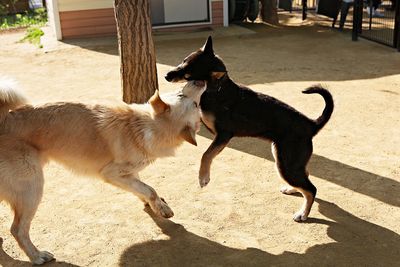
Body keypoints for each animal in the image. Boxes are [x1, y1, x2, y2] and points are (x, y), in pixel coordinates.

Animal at [0, 78, 206, 264]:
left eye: (197, 104)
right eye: (184, 97)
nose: (200, 80)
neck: (141, 126)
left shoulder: (126, 173)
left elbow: (141, 186)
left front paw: (154, 205)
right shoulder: (111, 173)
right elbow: (149, 189)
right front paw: (160, 206)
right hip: (32, 187)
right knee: (17, 229)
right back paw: (37, 256)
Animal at [164, 37, 332, 222]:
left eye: (188, 73)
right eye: (182, 61)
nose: (166, 75)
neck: (217, 90)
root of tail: (311, 124)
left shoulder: (223, 135)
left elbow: (206, 154)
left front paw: (203, 177)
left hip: (286, 163)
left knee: (312, 189)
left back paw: (303, 213)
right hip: (286, 159)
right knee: (306, 176)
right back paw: (292, 190)